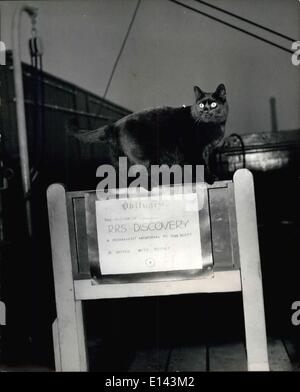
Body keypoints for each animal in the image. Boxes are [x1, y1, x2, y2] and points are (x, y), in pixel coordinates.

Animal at [71, 82, 230, 185]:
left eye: (214, 104)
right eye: (201, 105)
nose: (206, 111)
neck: (211, 126)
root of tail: (115, 124)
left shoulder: (206, 151)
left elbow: (206, 163)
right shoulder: (194, 150)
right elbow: (200, 166)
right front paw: (209, 178)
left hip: (120, 159)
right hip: (143, 158)